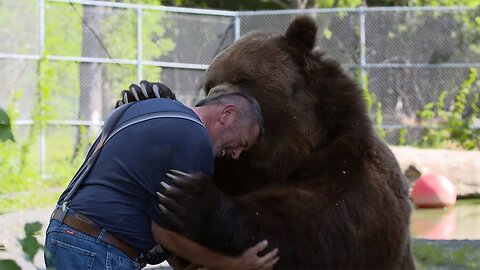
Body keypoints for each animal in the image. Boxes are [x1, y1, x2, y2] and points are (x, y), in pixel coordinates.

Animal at [128, 15, 416, 268]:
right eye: (210, 84)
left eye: (244, 79)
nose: (209, 100)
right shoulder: (233, 170)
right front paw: (143, 92)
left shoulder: (350, 180)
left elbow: (306, 231)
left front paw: (190, 196)